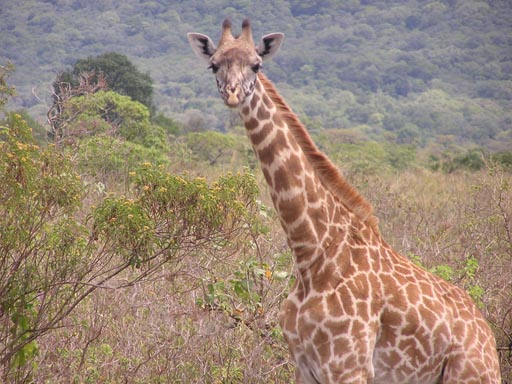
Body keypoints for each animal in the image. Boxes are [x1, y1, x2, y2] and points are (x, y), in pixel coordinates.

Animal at [187, 18, 500, 384]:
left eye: (256, 64)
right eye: (214, 65)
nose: (232, 93)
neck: (313, 254)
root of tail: (487, 336)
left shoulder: (348, 365)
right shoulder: (304, 365)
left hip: (471, 374)